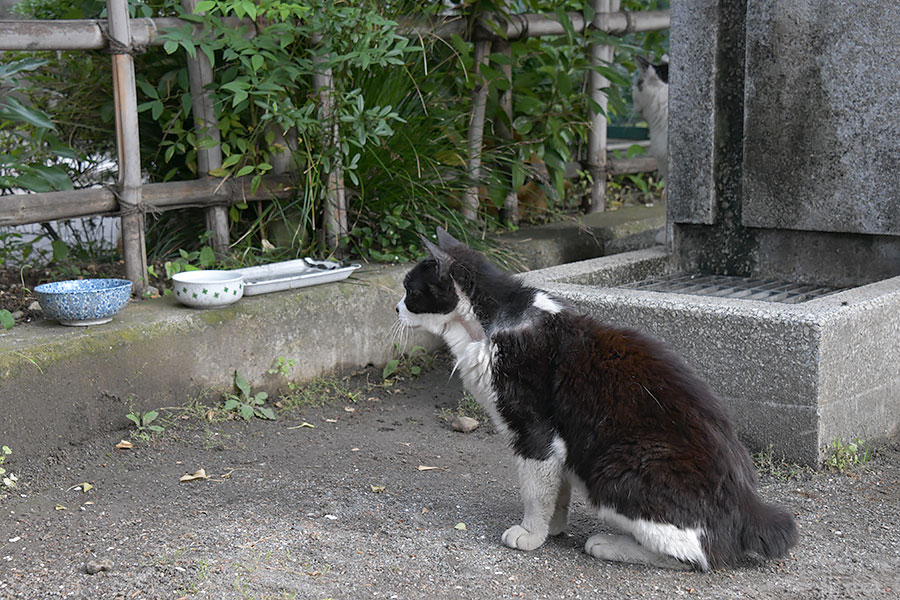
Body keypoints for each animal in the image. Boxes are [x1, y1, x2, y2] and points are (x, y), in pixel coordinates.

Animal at [398, 230, 800, 572]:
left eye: (409, 290)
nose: (396, 310)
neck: (485, 325)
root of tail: (749, 507)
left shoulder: (534, 431)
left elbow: (535, 490)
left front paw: (530, 533)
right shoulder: (557, 444)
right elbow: (556, 487)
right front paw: (554, 527)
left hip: (613, 468)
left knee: (697, 555)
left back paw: (609, 544)